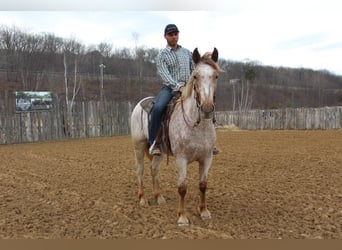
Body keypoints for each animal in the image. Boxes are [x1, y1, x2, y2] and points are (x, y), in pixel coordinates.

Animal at [130, 47, 223, 227]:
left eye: (216, 76)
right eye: (195, 76)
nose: (207, 108)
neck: (197, 126)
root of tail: (139, 104)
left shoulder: (207, 158)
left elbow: (203, 185)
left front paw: (204, 212)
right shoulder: (181, 159)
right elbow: (182, 188)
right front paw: (182, 217)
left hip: (158, 152)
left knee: (154, 170)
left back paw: (159, 197)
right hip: (138, 146)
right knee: (140, 171)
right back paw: (143, 199)